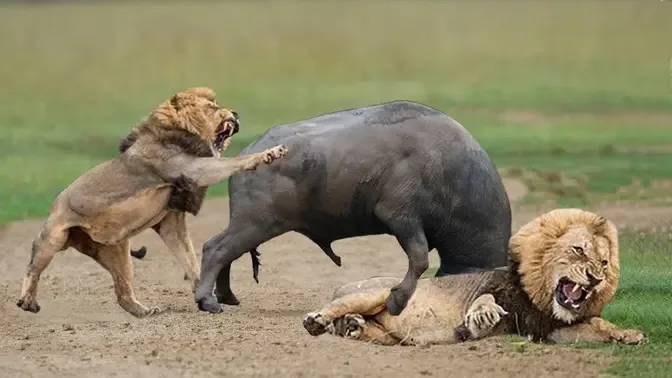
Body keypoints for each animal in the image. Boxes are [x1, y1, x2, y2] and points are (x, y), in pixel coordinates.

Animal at [16, 87, 288, 318]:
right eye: (212, 107)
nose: (236, 113)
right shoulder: (195, 169)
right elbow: (232, 162)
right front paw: (270, 153)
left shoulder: (171, 220)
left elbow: (189, 259)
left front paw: (202, 292)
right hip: (53, 237)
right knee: (32, 269)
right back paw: (27, 301)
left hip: (118, 253)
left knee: (122, 293)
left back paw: (144, 311)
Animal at [188, 101, 510, 316]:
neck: (450, 171)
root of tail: (250, 152)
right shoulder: (401, 217)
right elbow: (418, 260)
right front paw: (397, 301)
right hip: (256, 222)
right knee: (215, 248)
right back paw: (208, 300)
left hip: (254, 224)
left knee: (227, 252)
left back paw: (227, 295)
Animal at [304, 208, 644, 346]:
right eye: (578, 250)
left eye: (604, 262)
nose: (596, 278)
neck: (542, 299)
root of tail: (340, 285)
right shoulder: (490, 286)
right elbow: (486, 298)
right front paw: (481, 318)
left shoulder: (548, 329)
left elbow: (598, 326)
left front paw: (630, 335)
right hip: (373, 293)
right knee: (336, 308)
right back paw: (317, 320)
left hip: (389, 335)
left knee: (362, 328)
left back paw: (352, 327)